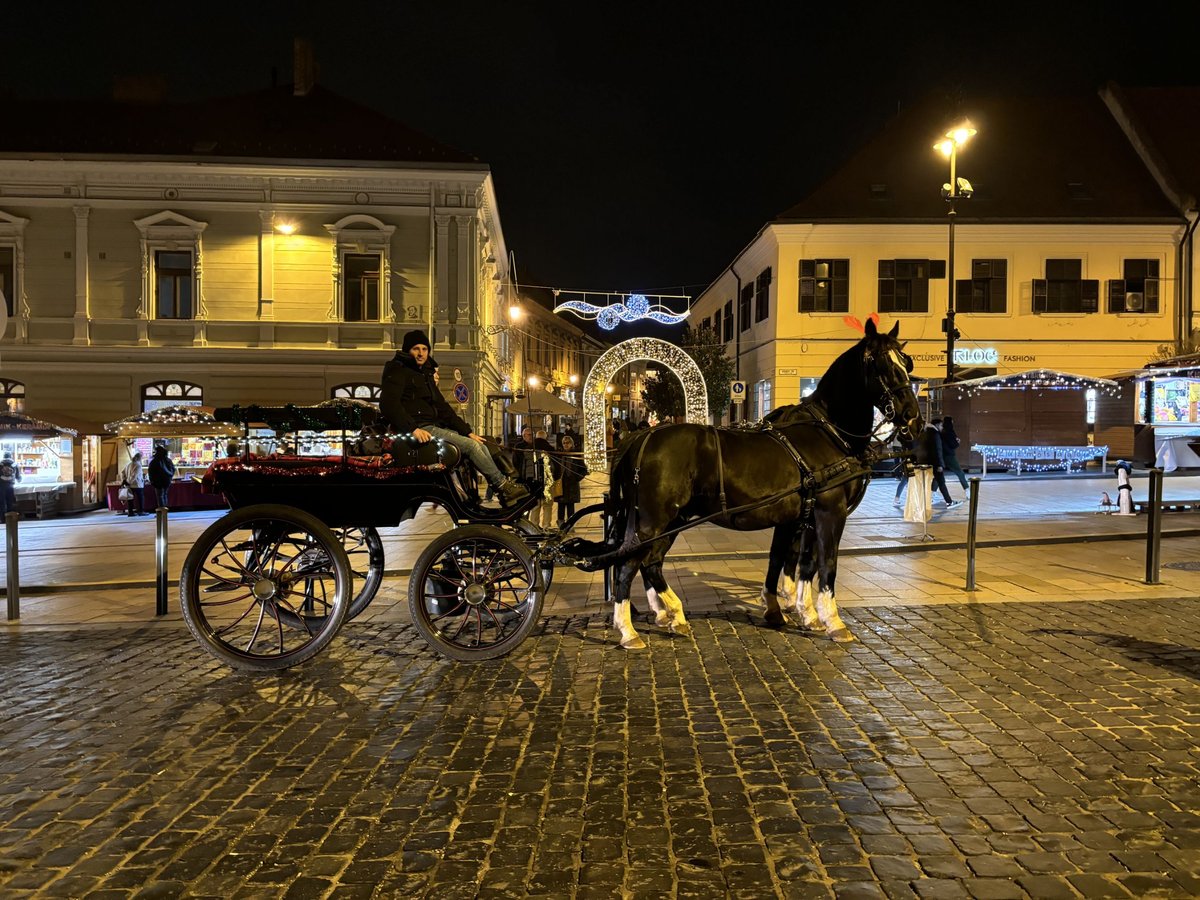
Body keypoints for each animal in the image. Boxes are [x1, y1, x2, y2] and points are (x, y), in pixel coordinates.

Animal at [566, 321, 921, 652]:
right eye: (879, 363)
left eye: (906, 361)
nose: (912, 417)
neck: (827, 432)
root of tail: (642, 436)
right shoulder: (829, 514)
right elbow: (826, 564)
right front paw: (831, 620)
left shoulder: (798, 518)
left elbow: (791, 563)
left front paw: (795, 612)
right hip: (653, 521)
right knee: (628, 564)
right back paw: (629, 631)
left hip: (668, 520)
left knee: (650, 562)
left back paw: (673, 615)